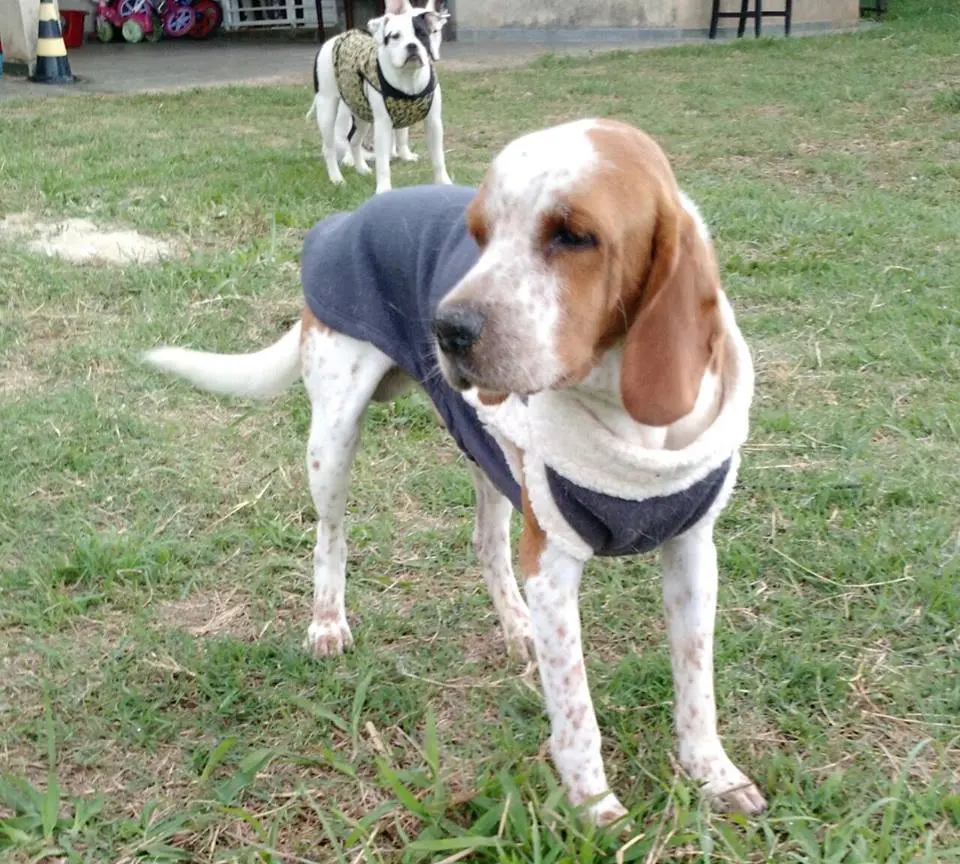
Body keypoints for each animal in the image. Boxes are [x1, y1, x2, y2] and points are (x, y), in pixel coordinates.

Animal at [144, 119, 766, 826]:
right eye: (479, 235)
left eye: (574, 235)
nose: (446, 327)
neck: (628, 418)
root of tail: (353, 216)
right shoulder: (554, 569)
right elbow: (577, 713)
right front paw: (595, 808)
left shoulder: (692, 552)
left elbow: (696, 683)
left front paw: (711, 772)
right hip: (333, 436)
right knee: (331, 536)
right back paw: (328, 621)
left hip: (485, 453)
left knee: (486, 544)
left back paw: (516, 626)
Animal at [307, 0, 451, 194]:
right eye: (395, 36)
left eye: (423, 33)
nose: (412, 46)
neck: (408, 77)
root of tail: (336, 38)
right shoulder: (383, 125)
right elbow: (383, 162)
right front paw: (383, 190)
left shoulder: (433, 122)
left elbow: (438, 158)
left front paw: (445, 183)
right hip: (327, 108)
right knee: (329, 148)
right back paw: (337, 178)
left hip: (360, 111)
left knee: (354, 140)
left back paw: (361, 169)